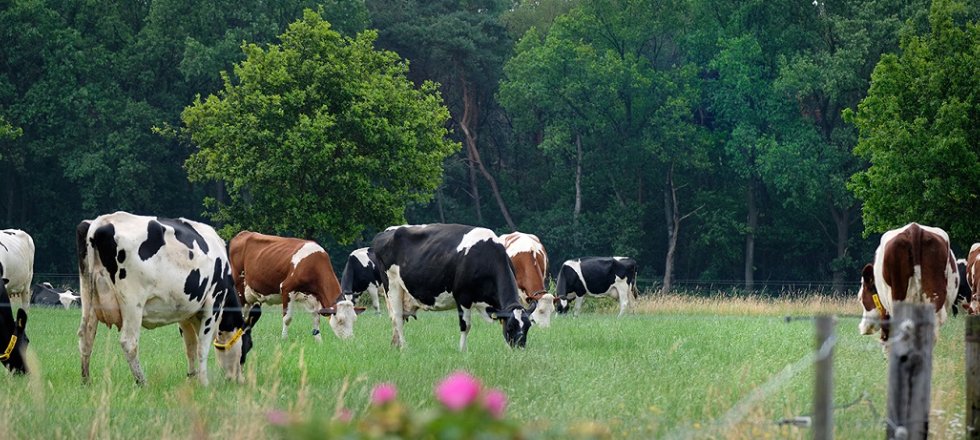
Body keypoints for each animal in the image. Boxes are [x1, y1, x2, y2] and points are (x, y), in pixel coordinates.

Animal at [77, 211, 260, 386]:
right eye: (248, 345)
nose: (240, 380)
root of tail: (100, 222)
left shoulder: (187, 313)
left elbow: (191, 347)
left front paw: (191, 380)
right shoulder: (214, 302)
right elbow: (202, 346)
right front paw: (204, 382)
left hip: (88, 296)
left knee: (86, 336)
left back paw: (86, 381)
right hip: (132, 302)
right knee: (129, 342)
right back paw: (142, 382)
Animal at [370, 223, 536, 350]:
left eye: (528, 327)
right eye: (511, 327)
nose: (519, 349)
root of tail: (386, 232)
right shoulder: (462, 296)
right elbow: (465, 326)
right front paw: (462, 351)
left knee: (397, 319)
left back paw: (395, 345)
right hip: (392, 285)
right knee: (397, 318)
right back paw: (404, 348)